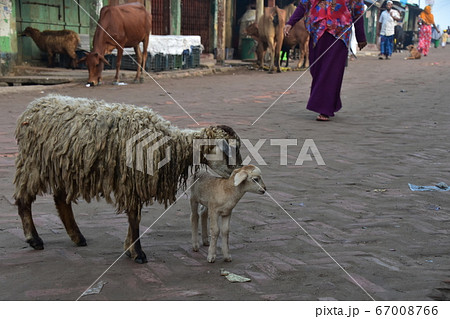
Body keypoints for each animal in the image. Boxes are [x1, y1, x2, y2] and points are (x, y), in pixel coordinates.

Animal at [13, 94, 243, 264]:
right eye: (229, 150)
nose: (238, 170)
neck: (169, 145)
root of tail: (35, 105)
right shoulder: (132, 181)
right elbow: (134, 218)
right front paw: (138, 253)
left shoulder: (133, 184)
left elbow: (134, 217)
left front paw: (129, 248)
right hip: (34, 164)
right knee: (24, 199)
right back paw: (34, 239)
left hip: (65, 167)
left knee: (61, 199)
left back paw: (77, 237)